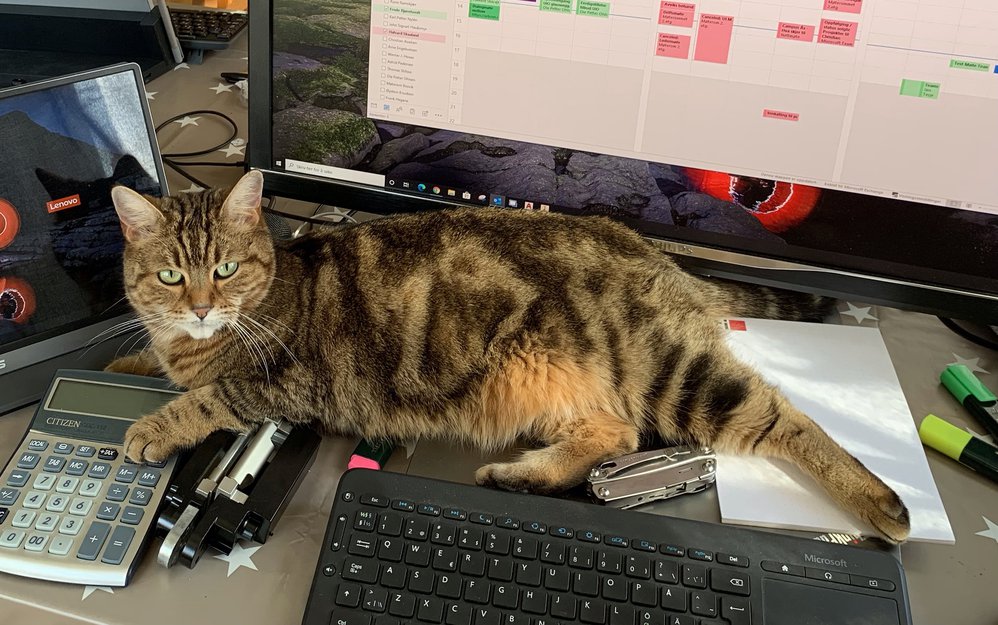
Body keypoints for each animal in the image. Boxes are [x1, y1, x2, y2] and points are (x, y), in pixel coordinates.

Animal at [107, 170, 910, 543]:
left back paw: (883, 502)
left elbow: (210, 397)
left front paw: (149, 425)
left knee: (782, 418)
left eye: (225, 269)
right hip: (562, 384)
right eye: (172, 275)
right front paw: (121, 369)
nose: (201, 306)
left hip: (672, 372)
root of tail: (662, 257)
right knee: (613, 433)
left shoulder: (281, 383)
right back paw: (521, 475)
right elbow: (149, 366)